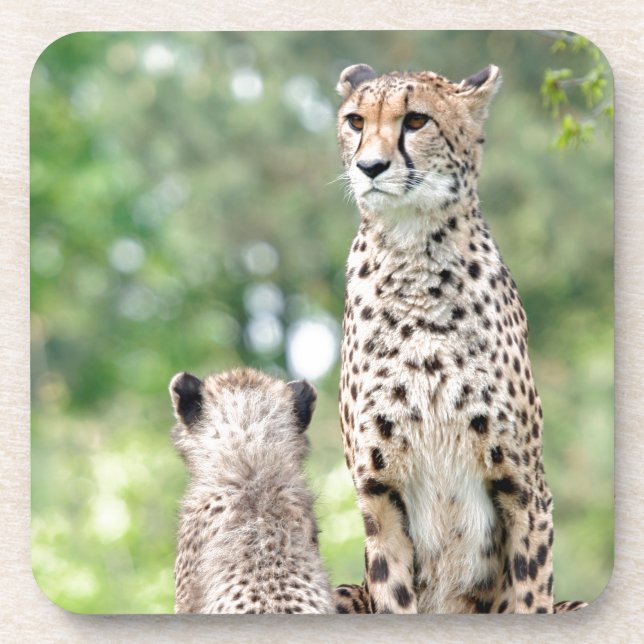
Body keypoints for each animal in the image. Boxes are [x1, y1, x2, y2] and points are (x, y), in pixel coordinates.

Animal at [332, 63, 587, 615]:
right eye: (356, 121)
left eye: (416, 121)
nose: (370, 167)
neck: (413, 260)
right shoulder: (378, 496)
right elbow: (393, 592)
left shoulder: (524, 488)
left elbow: (529, 589)